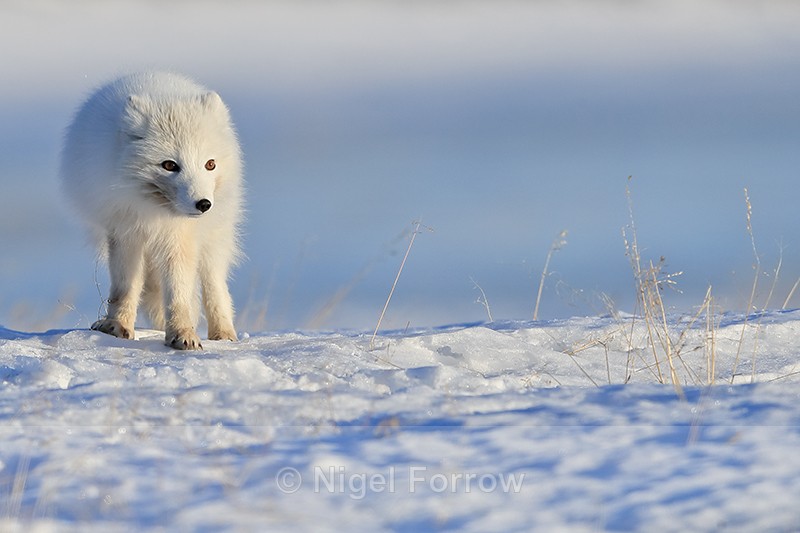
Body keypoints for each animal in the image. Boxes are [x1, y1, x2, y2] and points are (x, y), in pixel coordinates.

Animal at [61, 72, 243, 350]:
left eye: (210, 164)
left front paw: (182, 334)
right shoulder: (125, 232)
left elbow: (179, 291)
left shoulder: (181, 238)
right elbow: (125, 288)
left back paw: (224, 334)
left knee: (215, 285)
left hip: (216, 237)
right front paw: (117, 326)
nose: (203, 204)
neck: (156, 213)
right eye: (169, 165)